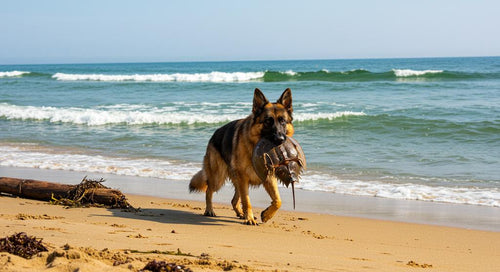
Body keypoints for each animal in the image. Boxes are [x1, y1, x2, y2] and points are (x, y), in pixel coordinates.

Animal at [190, 88, 292, 224]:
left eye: (282, 121)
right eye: (267, 121)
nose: (280, 139)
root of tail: (214, 134)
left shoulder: (268, 177)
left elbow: (278, 201)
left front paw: (266, 215)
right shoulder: (244, 178)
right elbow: (246, 201)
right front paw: (249, 219)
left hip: (237, 180)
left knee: (234, 200)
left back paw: (241, 213)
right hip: (219, 178)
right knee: (209, 191)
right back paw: (210, 210)